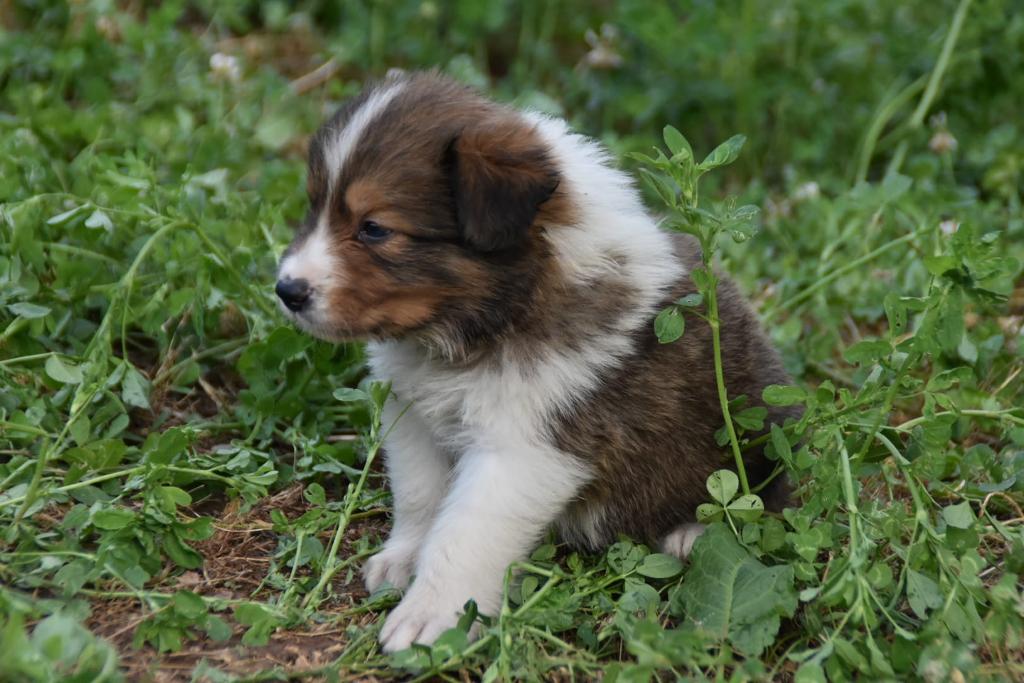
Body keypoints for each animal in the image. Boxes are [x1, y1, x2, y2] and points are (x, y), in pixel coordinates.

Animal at [276, 72, 794, 655]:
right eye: (313, 206)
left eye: (374, 229)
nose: (286, 290)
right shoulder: (412, 416)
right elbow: (421, 495)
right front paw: (404, 557)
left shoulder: (524, 448)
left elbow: (466, 534)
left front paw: (433, 614)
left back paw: (690, 534)